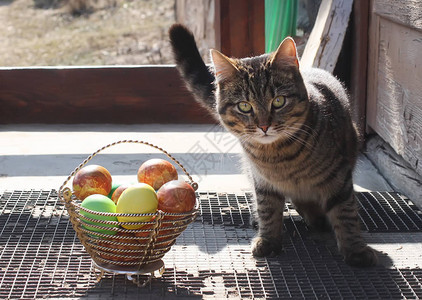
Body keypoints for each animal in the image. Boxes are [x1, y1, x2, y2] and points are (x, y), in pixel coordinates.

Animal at [170, 24, 378, 268]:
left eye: (278, 101)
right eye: (244, 106)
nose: (264, 126)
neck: (279, 156)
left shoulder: (339, 177)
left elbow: (346, 213)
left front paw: (355, 249)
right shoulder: (263, 182)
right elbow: (268, 211)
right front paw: (268, 240)